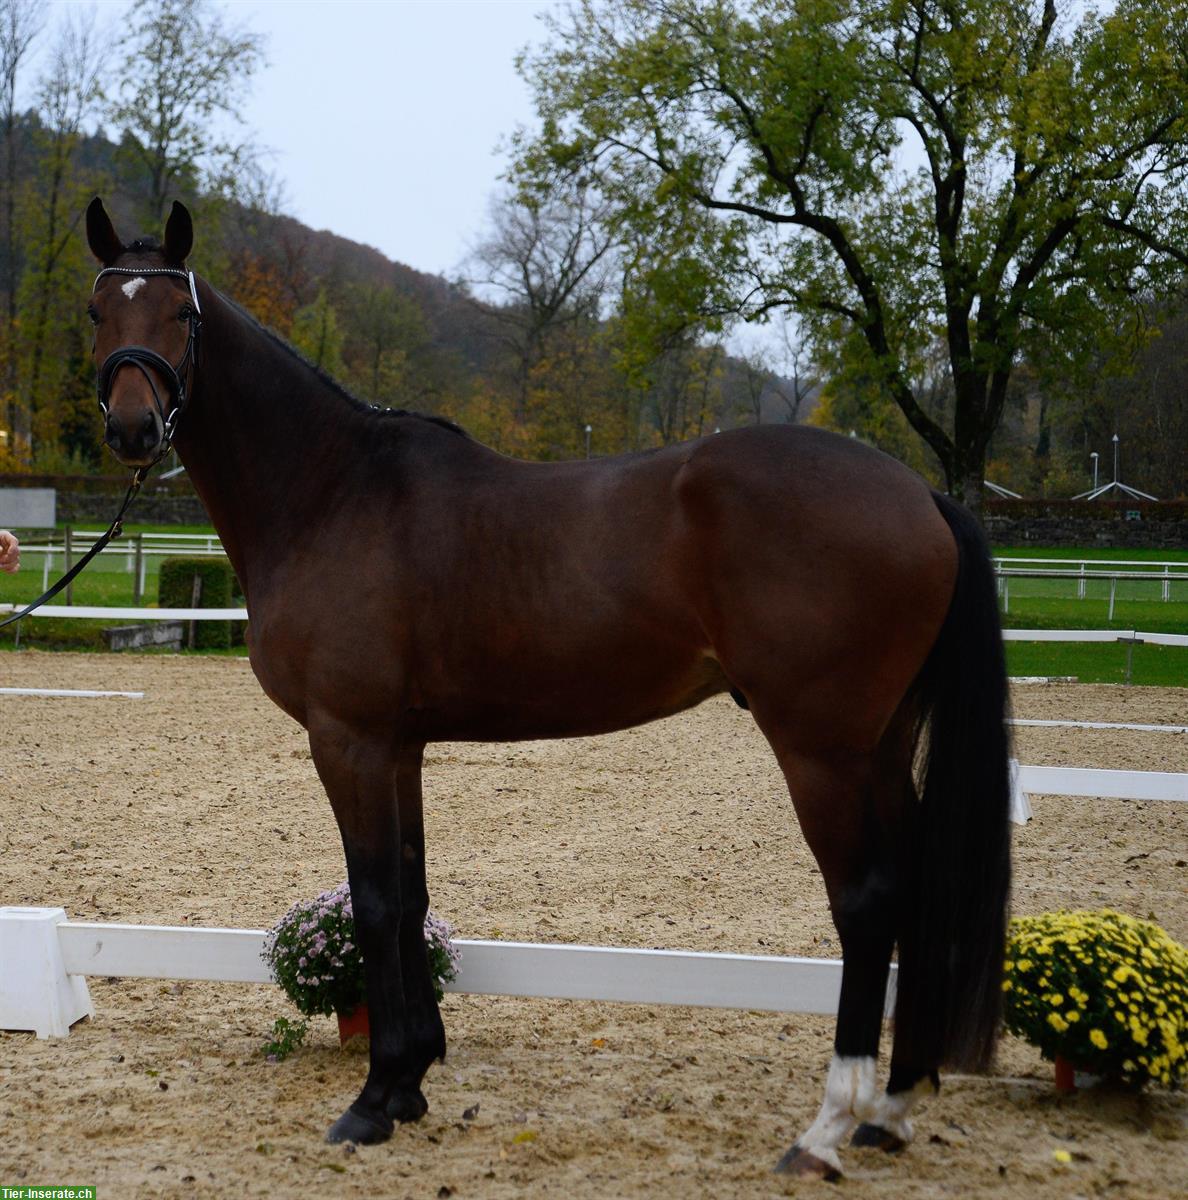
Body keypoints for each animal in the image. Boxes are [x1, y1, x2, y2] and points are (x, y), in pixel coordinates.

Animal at [85, 199, 1012, 1180]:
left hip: (822, 750)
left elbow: (373, 904)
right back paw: (893, 1109)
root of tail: (919, 494)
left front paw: (373, 1102)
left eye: (179, 316)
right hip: (881, 743)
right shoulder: (400, 747)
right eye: (99, 312)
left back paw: (829, 1125)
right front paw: (411, 1078)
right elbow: (410, 897)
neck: (332, 490)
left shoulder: (349, 740)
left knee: (867, 902)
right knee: (914, 888)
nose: (134, 429)